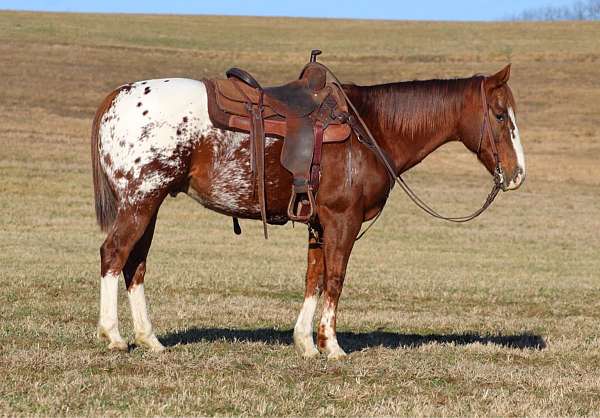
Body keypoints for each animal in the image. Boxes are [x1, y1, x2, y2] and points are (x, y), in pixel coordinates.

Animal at [91, 64, 524, 360]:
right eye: (501, 115)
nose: (517, 173)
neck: (372, 130)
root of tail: (118, 96)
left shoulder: (318, 222)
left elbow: (313, 278)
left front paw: (305, 343)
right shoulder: (342, 220)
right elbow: (334, 278)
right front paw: (331, 345)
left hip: (149, 205)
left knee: (135, 265)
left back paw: (150, 339)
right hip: (140, 201)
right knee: (113, 255)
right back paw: (113, 335)